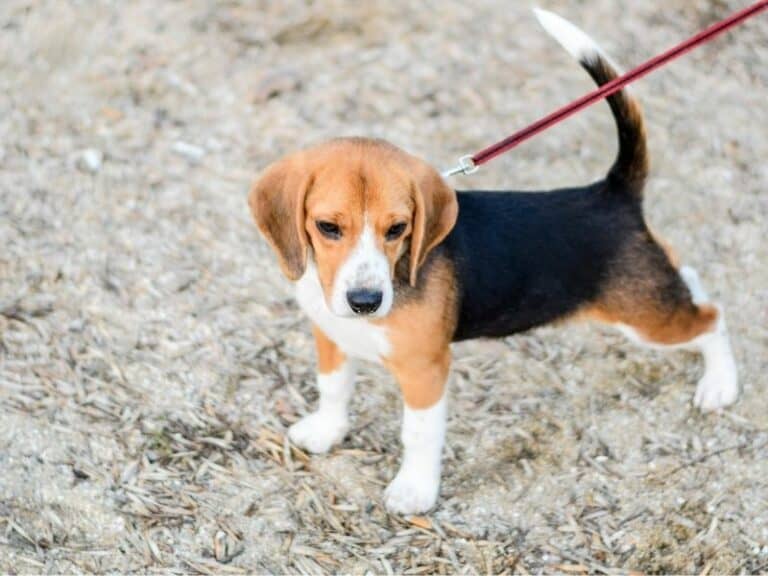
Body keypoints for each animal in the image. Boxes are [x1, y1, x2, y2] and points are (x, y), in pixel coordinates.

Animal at [248, 9, 736, 512]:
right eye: (328, 227)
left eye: (398, 229)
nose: (365, 301)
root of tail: (611, 193)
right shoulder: (332, 337)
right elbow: (333, 388)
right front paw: (326, 430)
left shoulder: (426, 370)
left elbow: (418, 434)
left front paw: (414, 490)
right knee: (690, 279)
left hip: (645, 320)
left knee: (713, 319)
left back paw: (721, 384)